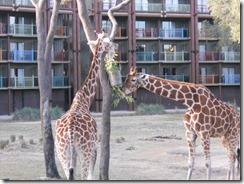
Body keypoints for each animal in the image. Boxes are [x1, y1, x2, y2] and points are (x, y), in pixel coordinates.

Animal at [54, 30, 117, 180]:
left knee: (69, 175)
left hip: (62, 153)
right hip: (85, 151)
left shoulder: (73, 154)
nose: (116, 46)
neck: (83, 100)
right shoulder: (94, 148)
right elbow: (91, 176)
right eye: (109, 41)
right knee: (83, 176)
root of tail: (70, 132)